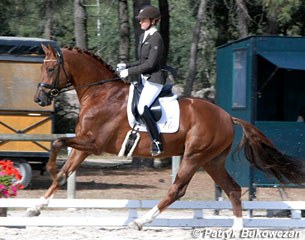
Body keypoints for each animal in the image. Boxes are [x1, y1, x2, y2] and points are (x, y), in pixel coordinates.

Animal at [32, 44, 304, 230]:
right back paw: (236, 230)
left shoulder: (94, 144)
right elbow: (65, 171)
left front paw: (49, 170)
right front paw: (36, 207)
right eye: (42, 68)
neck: (101, 93)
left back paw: (141, 221)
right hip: (212, 161)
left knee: (177, 190)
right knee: (233, 189)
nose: (39, 99)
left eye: (50, 68)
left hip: (194, 156)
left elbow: (57, 142)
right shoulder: (84, 145)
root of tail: (228, 116)